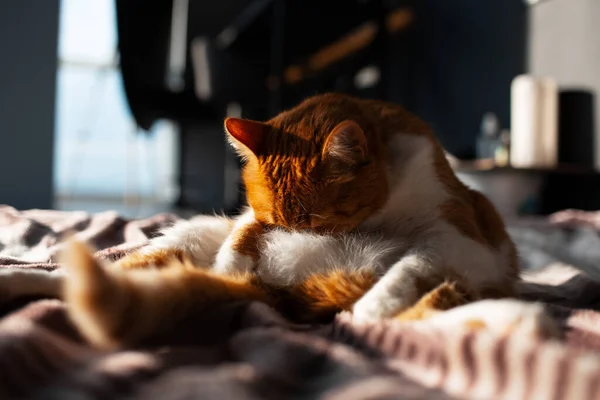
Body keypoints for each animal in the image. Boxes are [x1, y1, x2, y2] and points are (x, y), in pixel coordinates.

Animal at [0, 93, 556, 346]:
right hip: (190, 233)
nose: (290, 240)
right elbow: (242, 234)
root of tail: (279, 287)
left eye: (320, 221)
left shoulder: (456, 241)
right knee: (91, 276)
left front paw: (377, 308)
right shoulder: (248, 218)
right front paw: (235, 259)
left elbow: (409, 271)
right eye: (279, 221)